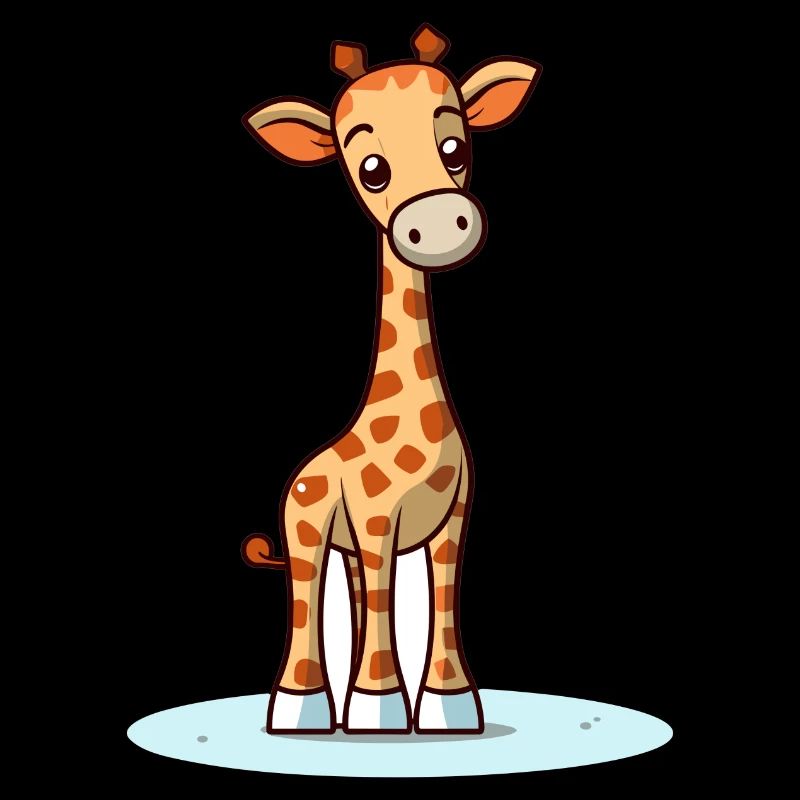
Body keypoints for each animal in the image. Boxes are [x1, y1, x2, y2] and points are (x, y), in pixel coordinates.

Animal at [241, 24, 540, 734]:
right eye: (370, 169)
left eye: (455, 146)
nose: (434, 224)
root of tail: (300, 472)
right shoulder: (377, 519)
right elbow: (383, 600)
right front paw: (379, 710)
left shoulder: (454, 516)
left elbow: (443, 598)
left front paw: (445, 708)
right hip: (307, 528)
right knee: (309, 596)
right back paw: (302, 710)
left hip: (346, 544)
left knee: (353, 595)